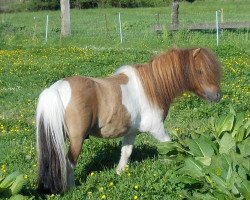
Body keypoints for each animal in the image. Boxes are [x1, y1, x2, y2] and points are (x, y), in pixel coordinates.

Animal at [35, 47, 221, 194]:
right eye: (200, 71)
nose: (218, 96)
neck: (153, 87)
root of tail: (55, 89)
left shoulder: (131, 132)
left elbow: (126, 152)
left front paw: (120, 172)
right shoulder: (156, 129)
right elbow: (169, 145)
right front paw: (173, 164)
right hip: (76, 139)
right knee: (69, 162)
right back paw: (72, 189)